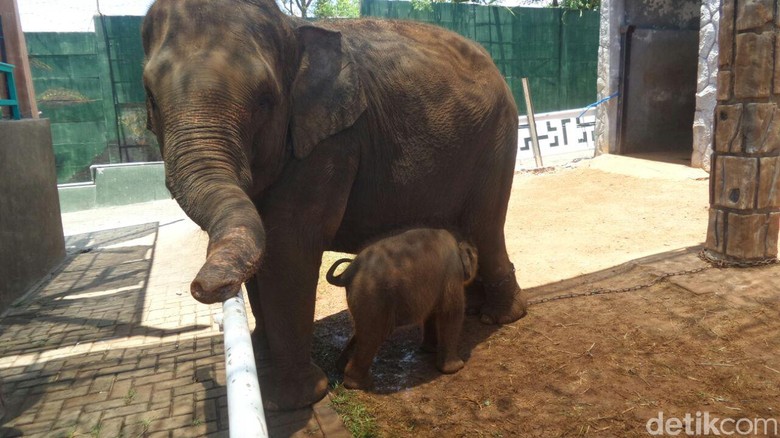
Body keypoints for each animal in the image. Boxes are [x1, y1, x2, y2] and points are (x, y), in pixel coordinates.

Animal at [322, 228, 476, 388]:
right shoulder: (452, 274)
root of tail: (347, 274)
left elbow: (432, 314)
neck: (457, 244)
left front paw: (429, 350)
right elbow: (451, 312)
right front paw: (456, 368)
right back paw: (361, 383)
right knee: (373, 335)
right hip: (373, 296)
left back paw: (342, 368)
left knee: (362, 331)